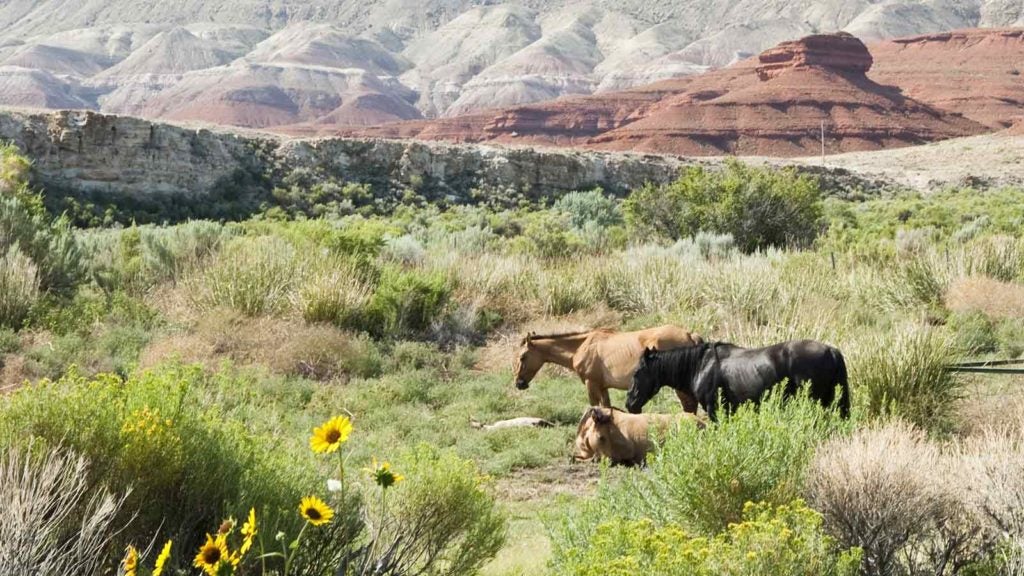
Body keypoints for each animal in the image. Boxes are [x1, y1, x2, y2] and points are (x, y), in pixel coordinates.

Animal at [512, 325, 703, 408]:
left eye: (522, 357)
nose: (519, 384)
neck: (582, 346)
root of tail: (689, 334)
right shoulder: (603, 387)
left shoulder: (591, 384)